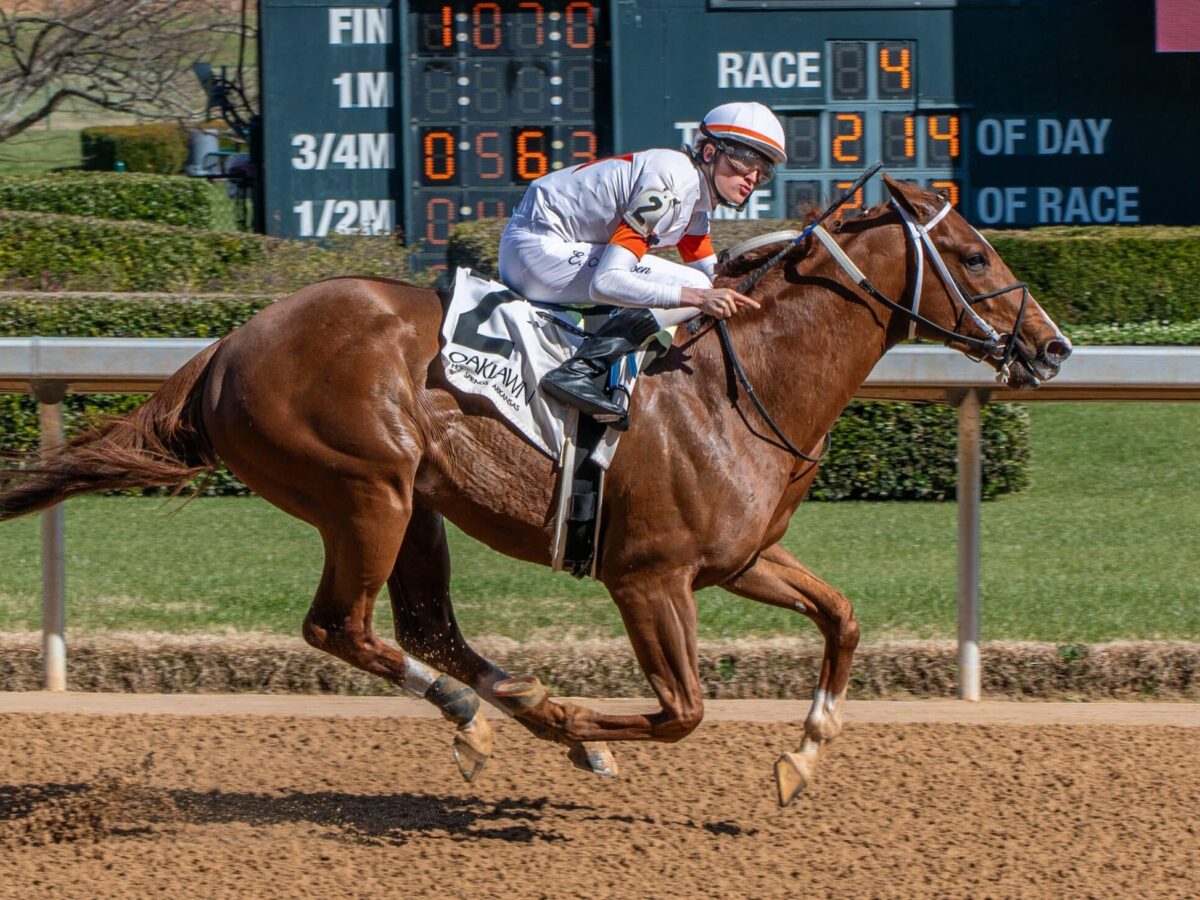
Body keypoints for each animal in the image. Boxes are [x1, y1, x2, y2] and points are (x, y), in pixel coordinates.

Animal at [0, 174, 1070, 801]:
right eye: (974, 254)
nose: (1054, 347)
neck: (735, 387)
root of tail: (228, 345)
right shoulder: (648, 578)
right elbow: (683, 711)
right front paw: (573, 727)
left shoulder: (739, 560)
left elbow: (842, 619)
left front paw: (803, 752)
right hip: (366, 491)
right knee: (340, 627)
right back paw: (502, 716)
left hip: (415, 505)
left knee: (426, 628)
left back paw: (496, 709)